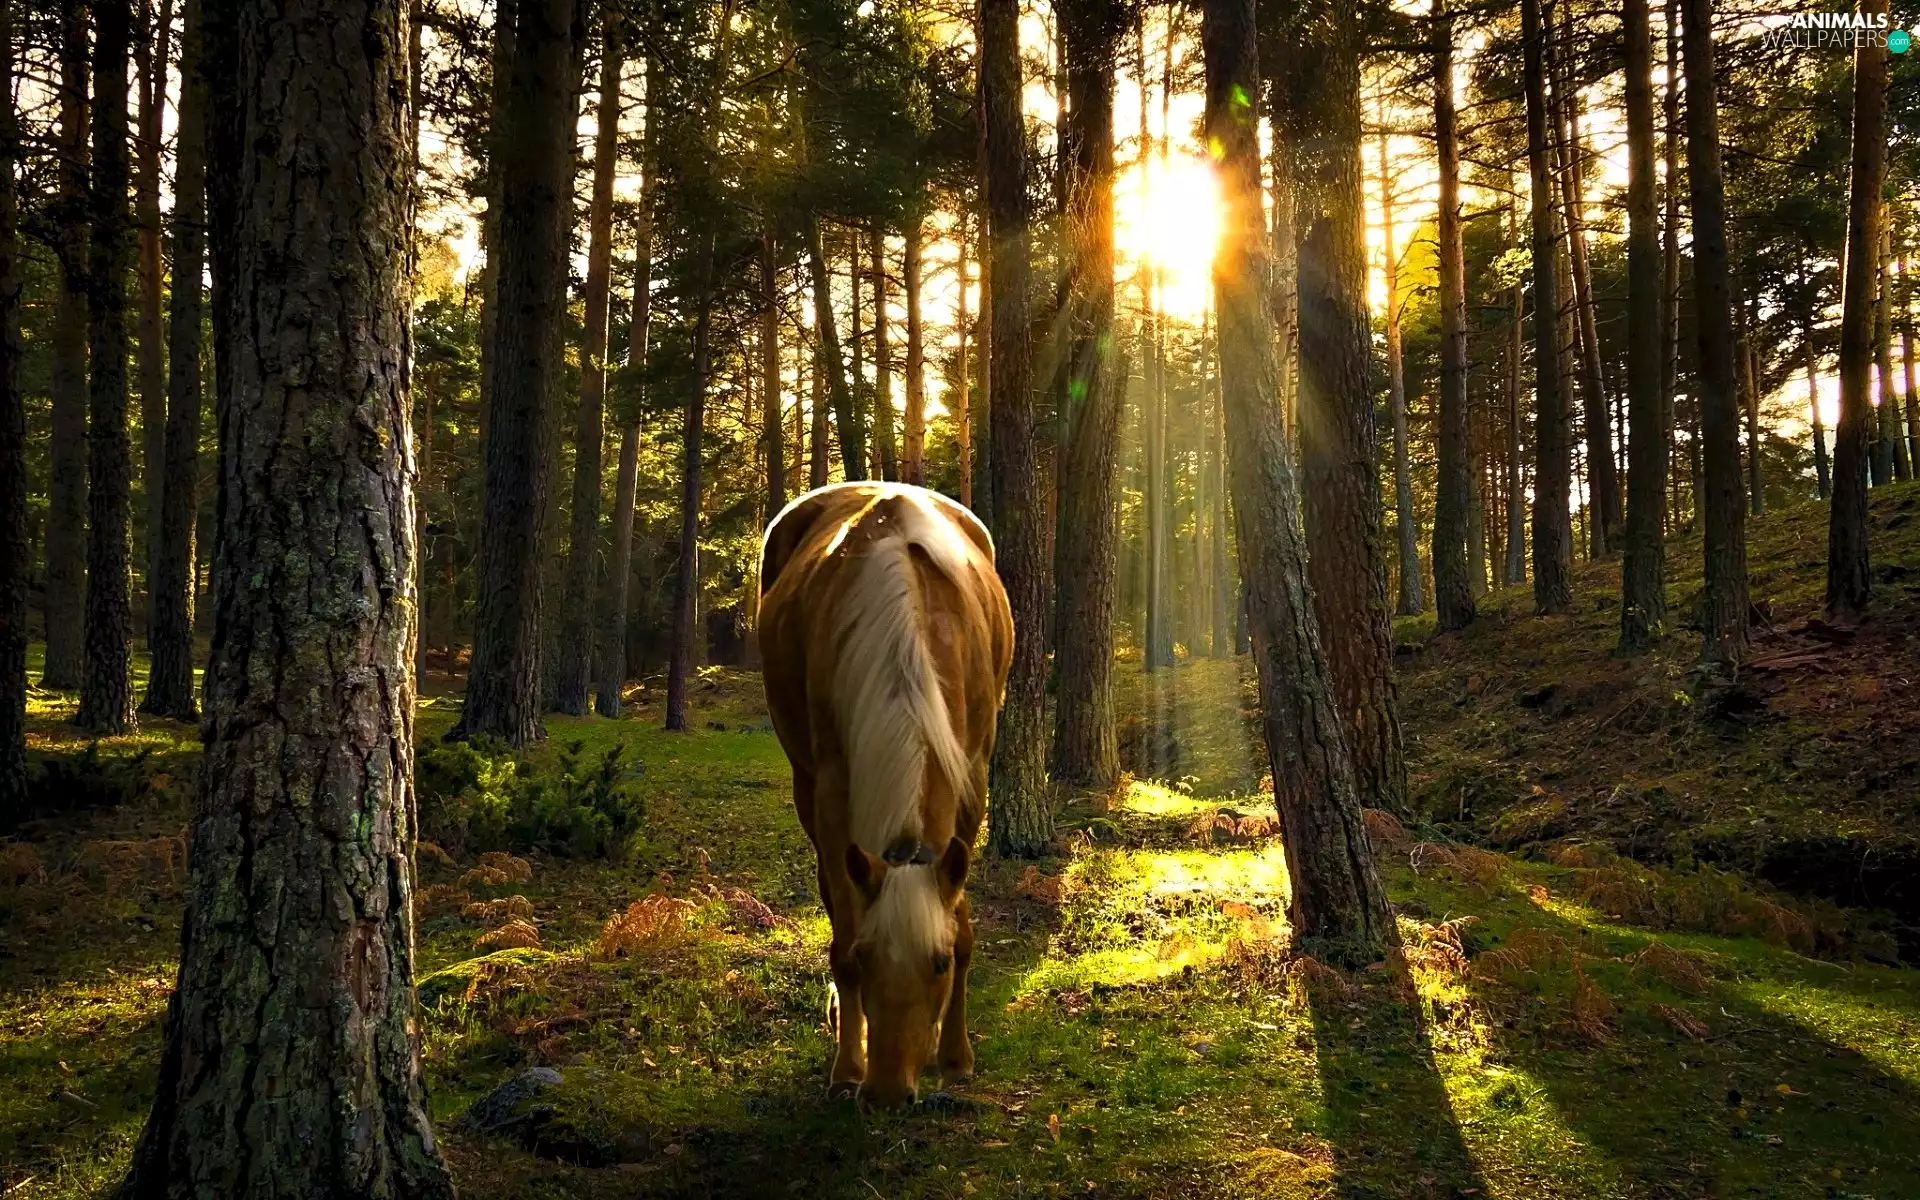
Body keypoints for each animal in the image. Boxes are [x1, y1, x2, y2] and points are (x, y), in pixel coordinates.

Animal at [757, 482, 1013, 1107]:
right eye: (869, 958)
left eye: (938, 965)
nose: (890, 1092)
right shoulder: (831, 794)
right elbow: (842, 936)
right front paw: (848, 1066)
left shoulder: (971, 780)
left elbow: (963, 923)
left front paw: (956, 1057)